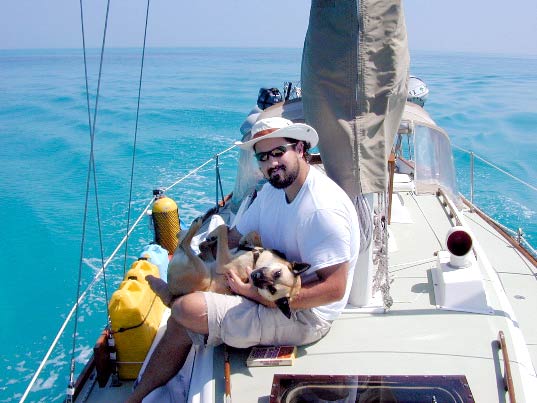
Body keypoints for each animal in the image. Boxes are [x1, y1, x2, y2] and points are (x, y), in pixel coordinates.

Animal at [150, 218, 310, 318]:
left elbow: (222, 229)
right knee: (193, 245)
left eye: (272, 290)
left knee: (185, 245)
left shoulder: (223, 263)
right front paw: (243, 240)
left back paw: (194, 228)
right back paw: (202, 239)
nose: (256, 276)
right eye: (278, 273)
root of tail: (173, 293)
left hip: (201, 273)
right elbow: (254, 234)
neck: (256, 260)